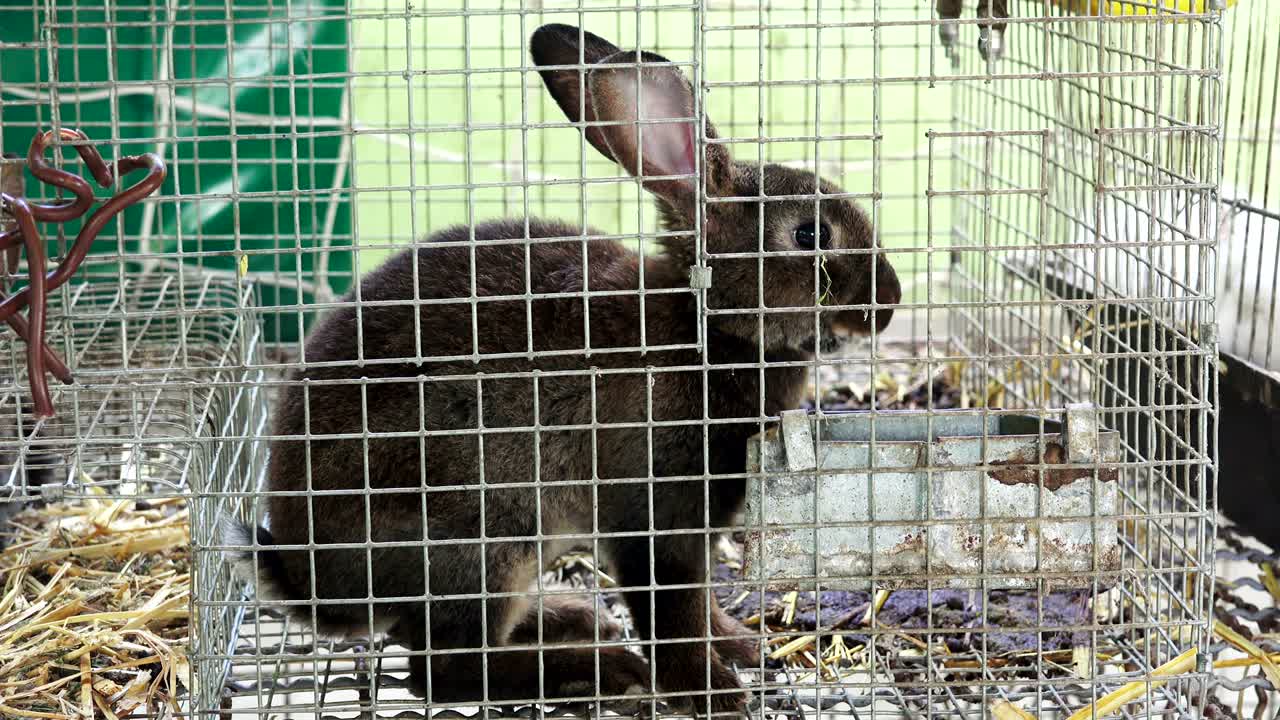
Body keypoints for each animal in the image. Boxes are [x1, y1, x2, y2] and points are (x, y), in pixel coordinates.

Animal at [221, 22, 900, 713]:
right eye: (811, 235)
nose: (889, 304)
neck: (709, 326)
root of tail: (313, 580)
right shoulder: (655, 517)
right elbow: (673, 615)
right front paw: (711, 693)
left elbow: (702, 608)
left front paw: (741, 646)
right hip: (482, 535)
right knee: (446, 669)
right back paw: (598, 666)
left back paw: (571, 619)